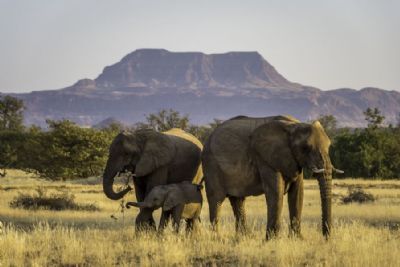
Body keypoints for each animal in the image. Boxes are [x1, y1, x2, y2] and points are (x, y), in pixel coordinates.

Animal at [202, 116, 342, 240]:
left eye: (329, 146)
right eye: (305, 148)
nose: (326, 238)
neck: (293, 126)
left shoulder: (294, 160)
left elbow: (297, 194)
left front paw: (297, 239)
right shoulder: (265, 158)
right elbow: (276, 192)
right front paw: (272, 240)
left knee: (238, 201)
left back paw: (244, 237)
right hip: (211, 165)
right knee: (216, 200)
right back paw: (216, 238)